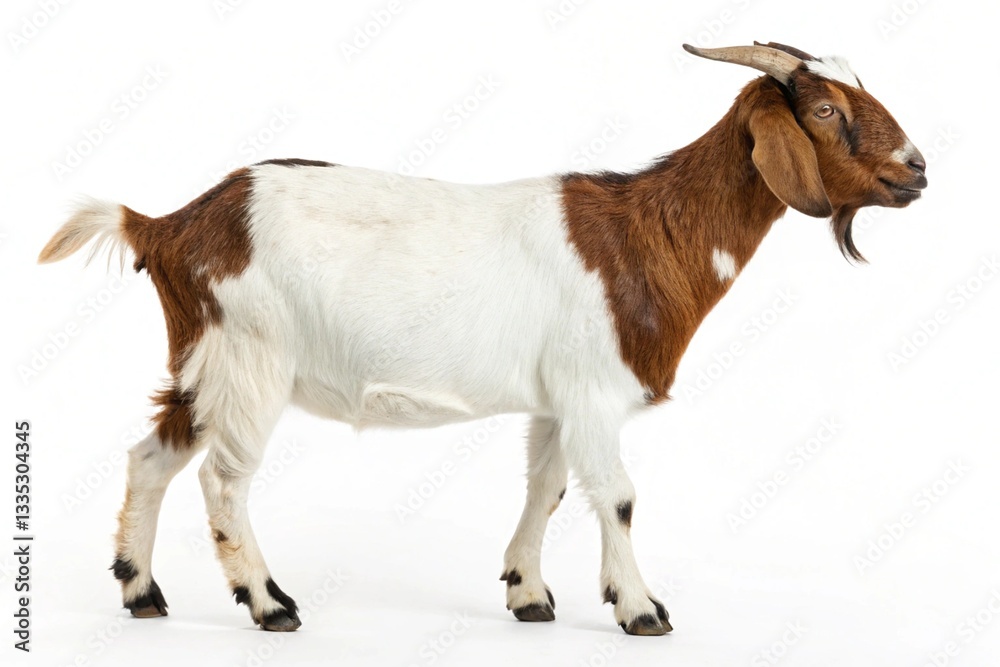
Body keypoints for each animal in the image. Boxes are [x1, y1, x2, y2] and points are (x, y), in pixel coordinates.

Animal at [38, 42, 926, 635]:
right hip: (250, 359)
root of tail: (171, 224)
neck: (648, 231)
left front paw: (529, 592)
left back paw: (141, 592)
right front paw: (643, 607)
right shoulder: (593, 390)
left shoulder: (557, 399)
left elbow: (548, 486)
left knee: (149, 456)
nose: (918, 168)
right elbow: (619, 494)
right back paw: (268, 602)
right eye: (825, 109)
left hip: (202, 359)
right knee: (222, 479)